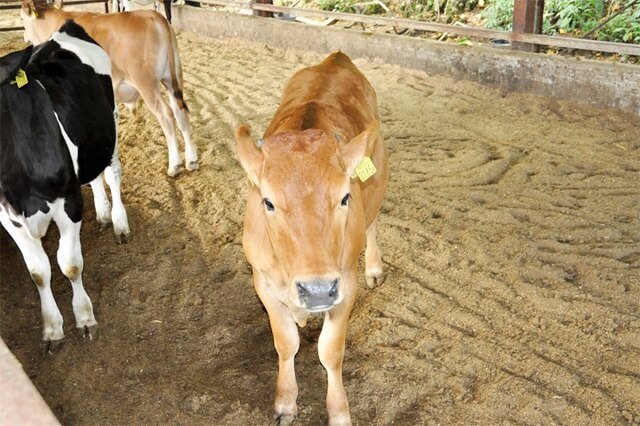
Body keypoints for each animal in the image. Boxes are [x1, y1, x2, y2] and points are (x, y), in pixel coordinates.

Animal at [0, 19, 131, 346]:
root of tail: (65, 28)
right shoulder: (7, 217)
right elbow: (38, 271)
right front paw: (51, 327)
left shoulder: (68, 201)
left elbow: (70, 263)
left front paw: (84, 317)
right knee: (93, 176)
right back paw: (103, 215)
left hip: (111, 122)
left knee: (112, 173)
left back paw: (119, 223)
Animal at [21, 0, 198, 176]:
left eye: (22, 19)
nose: (24, 37)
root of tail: (154, 16)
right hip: (173, 78)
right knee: (180, 112)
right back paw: (192, 161)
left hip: (147, 84)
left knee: (166, 115)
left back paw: (174, 165)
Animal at [234, 52, 384, 426]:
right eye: (268, 202)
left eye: (344, 197)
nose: (316, 290)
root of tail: (336, 58)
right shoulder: (262, 280)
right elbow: (285, 343)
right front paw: (286, 402)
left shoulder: (345, 282)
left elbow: (330, 351)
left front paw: (339, 411)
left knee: (373, 222)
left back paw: (375, 267)